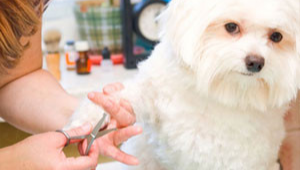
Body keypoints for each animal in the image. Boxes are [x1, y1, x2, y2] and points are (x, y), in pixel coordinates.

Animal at [67, 0, 300, 169]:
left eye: (276, 36)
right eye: (231, 27)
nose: (256, 62)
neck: (220, 92)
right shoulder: (153, 90)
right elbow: (122, 98)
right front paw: (87, 118)